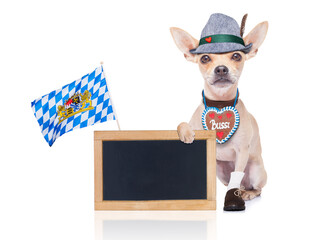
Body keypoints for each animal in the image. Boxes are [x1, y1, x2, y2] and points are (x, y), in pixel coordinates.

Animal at [171, 14, 268, 211]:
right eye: (205, 58)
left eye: (237, 56)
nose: (221, 68)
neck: (220, 104)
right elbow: (182, 123)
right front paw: (186, 133)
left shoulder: (242, 151)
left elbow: (236, 177)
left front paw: (232, 200)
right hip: (220, 171)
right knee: (232, 182)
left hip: (256, 171)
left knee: (253, 188)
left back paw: (247, 193)